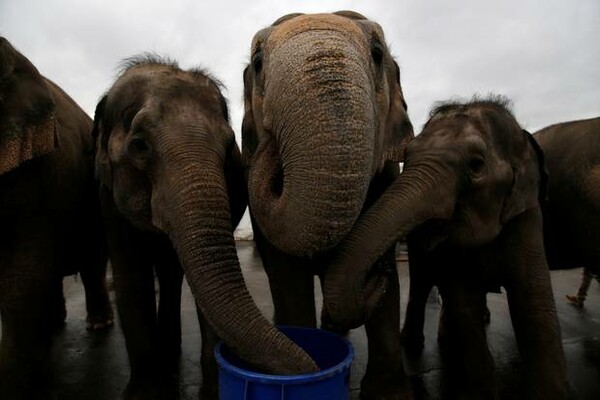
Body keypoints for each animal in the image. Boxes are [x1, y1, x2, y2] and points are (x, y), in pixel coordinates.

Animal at [0, 36, 113, 398]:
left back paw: (98, 324)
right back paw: (54, 324)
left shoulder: (41, 169)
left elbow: (21, 271)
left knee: (90, 264)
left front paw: (20, 386)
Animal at [91, 55, 316, 400]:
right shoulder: (108, 199)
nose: (315, 371)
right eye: (139, 145)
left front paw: (213, 391)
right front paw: (145, 392)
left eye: (229, 147)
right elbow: (132, 280)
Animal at [324, 97, 568, 400]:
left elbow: (534, 304)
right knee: (422, 283)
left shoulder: (526, 216)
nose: (380, 271)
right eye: (407, 157)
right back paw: (417, 343)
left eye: (476, 165)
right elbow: (466, 303)